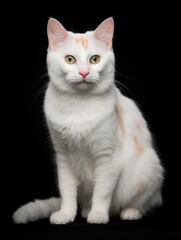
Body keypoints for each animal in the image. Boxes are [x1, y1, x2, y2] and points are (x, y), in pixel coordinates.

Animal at [12, 17, 164, 225]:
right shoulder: (63, 157)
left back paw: (129, 212)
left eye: (95, 59)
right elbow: (67, 191)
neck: (79, 104)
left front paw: (98, 214)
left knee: (145, 202)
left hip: (149, 167)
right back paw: (85, 210)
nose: (84, 73)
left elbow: (102, 191)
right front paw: (66, 214)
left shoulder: (108, 157)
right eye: (70, 59)